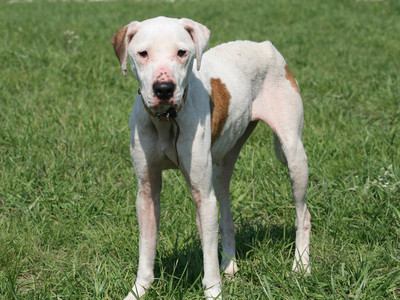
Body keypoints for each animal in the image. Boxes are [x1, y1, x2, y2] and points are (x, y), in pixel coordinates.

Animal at [111, 17, 310, 300]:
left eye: (182, 53)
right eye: (143, 53)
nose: (164, 88)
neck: (167, 120)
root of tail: (265, 45)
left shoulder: (202, 195)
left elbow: (208, 257)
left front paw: (214, 291)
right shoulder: (147, 194)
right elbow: (146, 251)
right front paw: (138, 291)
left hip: (293, 154)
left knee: (303, 215)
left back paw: (301, 266)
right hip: (222, 165)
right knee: (225, 214)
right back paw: (230, 266)